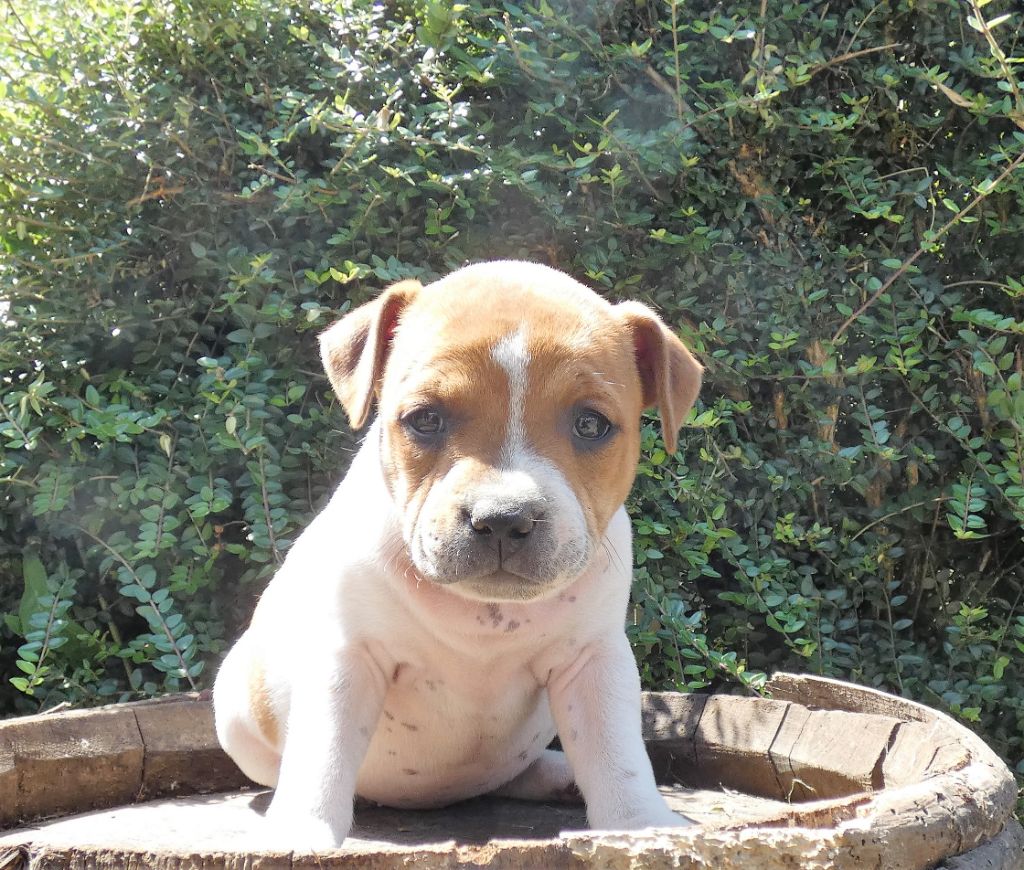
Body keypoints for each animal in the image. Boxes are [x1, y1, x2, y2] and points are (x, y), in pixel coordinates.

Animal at [213, 261, 703, 848]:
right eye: (425, 419)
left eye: (591, 424)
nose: (504, 517)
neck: (483, 614)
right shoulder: (346, 659)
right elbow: (323, 752)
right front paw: (298, 832)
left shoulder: (594, 661)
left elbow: (618, 753)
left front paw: (643, 826)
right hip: (235, 710)